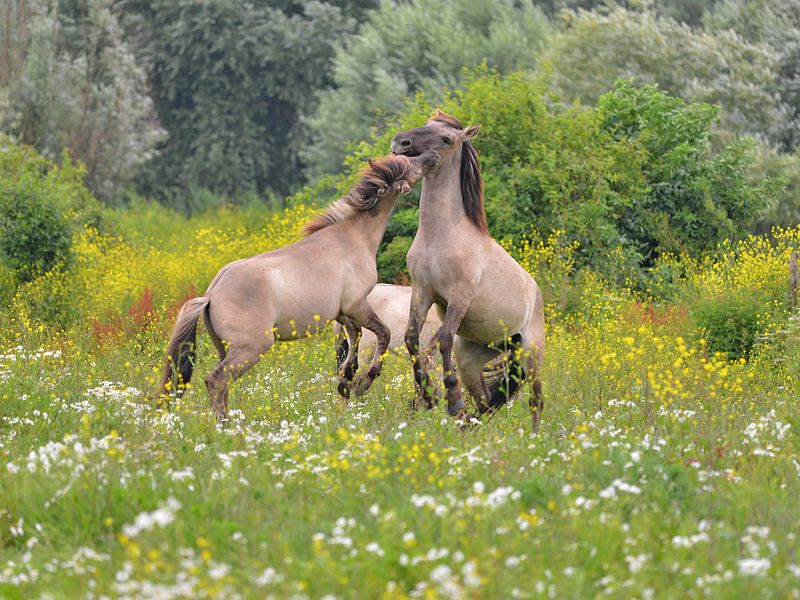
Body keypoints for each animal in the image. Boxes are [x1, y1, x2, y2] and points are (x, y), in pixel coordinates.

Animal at [157, 151, 439, 421]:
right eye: (409, 164)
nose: (432, 156)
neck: (352, 236)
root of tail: (211, 294)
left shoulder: (343, 313)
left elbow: (355, 337)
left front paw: (346, 379)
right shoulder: (356, 304)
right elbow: (383, 333)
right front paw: (362, 382)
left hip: (225, 349)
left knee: (221, 385)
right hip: (250, 349)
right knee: (216, 381)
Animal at [391, 110, 546, 431]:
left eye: (446, 138)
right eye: (427, 123)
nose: (401, 142)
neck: (440, 235)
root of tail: (536, 294)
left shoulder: (459, 296)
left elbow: (445, 337)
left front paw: (451, 397)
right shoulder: (423, 292)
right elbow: (412, 338)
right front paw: (427, 393)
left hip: (531, 354)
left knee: (535, 401)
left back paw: (536, 438)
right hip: (474, 355)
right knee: (485, 399)